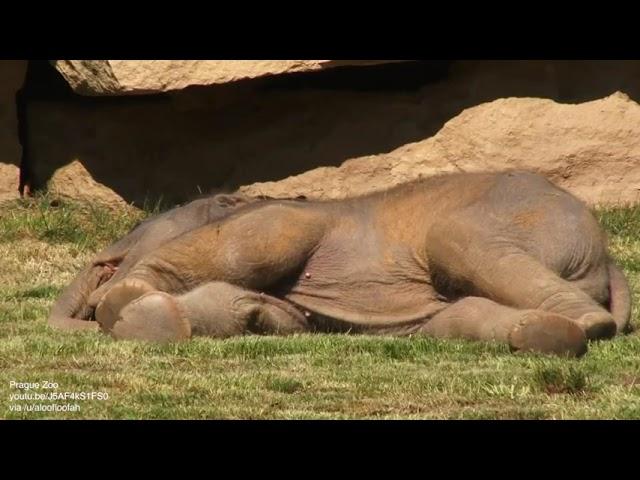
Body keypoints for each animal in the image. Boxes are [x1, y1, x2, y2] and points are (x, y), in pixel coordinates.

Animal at [50, 172, 632, 356]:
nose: (101, 272)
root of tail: (610, 263)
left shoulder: (283, 218)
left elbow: (250, 243)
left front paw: (121, 304)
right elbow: (249, 309)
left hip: (525, 216)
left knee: (457, 241)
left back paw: (584, 327)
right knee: (458, 319)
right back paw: (543, 335)